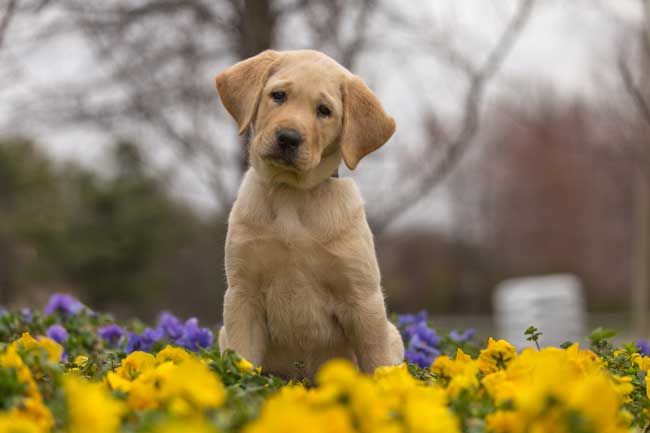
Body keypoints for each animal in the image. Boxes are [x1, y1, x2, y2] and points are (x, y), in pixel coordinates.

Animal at [215, 48, 402, 378]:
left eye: (324, 111)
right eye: (278, 95)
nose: (288, 138)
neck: (292, 194)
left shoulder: (362, 298)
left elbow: (376, 360)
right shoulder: (242, 294)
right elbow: (243, 360)